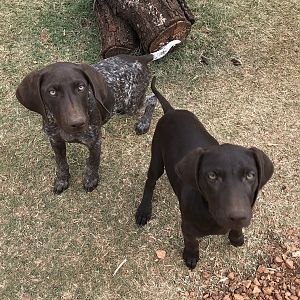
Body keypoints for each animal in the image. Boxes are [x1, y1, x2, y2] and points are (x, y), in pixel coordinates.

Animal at [15, 39, 180, 193]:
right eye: (52, 92)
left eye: (81, 87)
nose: (78, 123)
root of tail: (139, 59)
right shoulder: (55, 141)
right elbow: (61, 163)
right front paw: (62, 180)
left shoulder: (95, 142)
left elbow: (93, 162)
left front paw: (91, 180)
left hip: (132, 103)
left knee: (152, 99)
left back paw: (144, 123)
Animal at [137, 78, 274, 270]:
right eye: (212, 176)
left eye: (250, 175)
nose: (237, 216)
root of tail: (171, 111)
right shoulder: (187, 226)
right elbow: (192, 241)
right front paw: (191, 256)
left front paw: (237, 236)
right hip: (157, 155)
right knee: (150, 181)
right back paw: (143, 210)